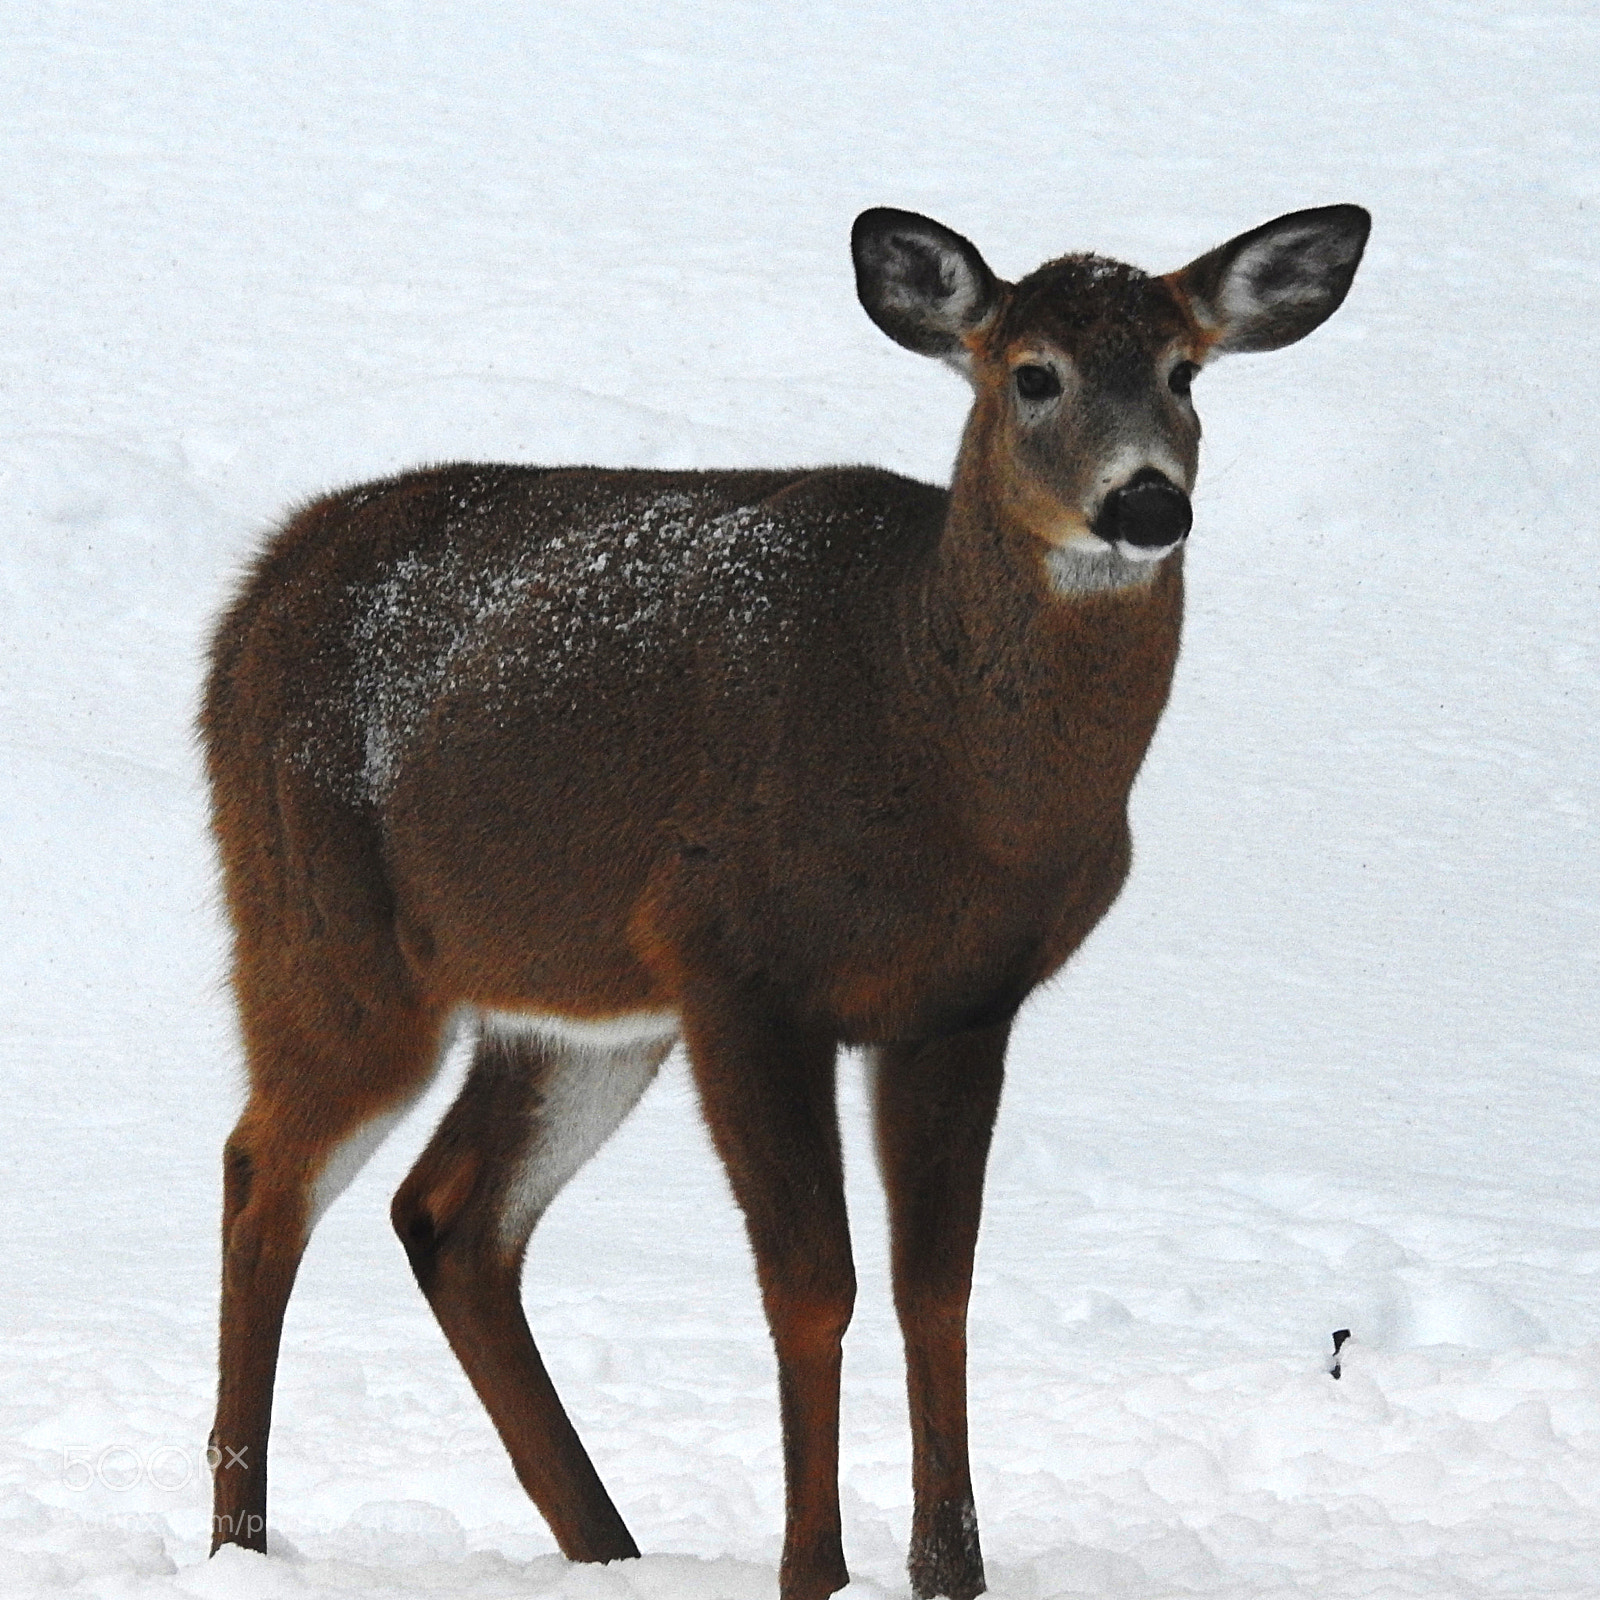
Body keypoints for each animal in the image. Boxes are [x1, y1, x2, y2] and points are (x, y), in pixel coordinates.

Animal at [201, 201, 1369, 1600]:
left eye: (1186, 372)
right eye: (1032, 373)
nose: (1145, 499)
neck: (952, 775)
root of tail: (257, 590)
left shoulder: (960, 1002)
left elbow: (937, 1286)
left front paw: (949, 1569)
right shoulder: (739, 965)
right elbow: (814, 1285)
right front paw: (814, 1567)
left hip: (575, 1008)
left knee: (449, 1215)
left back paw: (606, 1543)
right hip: (324, 934)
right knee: (263, 1176)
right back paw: (237, 1538)